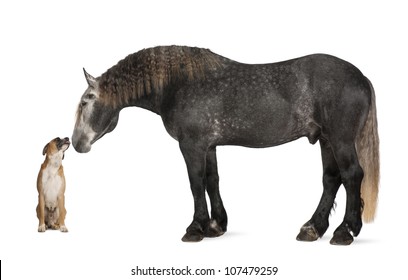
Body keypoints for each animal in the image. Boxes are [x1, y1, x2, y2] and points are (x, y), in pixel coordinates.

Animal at [71, 44, 380, 244]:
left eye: (86, 101)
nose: (76, 143)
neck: (179, 84)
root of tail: (361, 77)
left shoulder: (192, 145)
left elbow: (195, 183)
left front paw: (195, 228)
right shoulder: (208, 146)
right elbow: (212, 180)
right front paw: (216, 225)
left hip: (340, 140)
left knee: (352, 176)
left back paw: (345, 231)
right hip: (325, 141)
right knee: (331, 180)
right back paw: (312, 228)